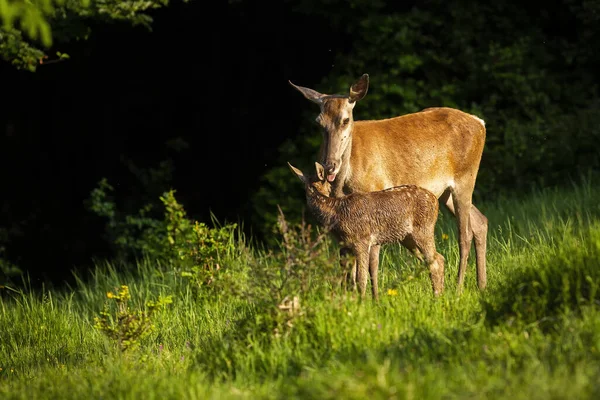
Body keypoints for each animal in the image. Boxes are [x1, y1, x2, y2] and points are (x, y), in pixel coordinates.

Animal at [288, 161, 442, 298]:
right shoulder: (346, 246)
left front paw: (361, 304)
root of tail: (435, 200)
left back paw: (436, 297)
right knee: (438, 258)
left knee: (434, 262)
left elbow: (361, 279)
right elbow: (350, 280)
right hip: (407, 238)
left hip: (423, 230)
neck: (336, 213)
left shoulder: (362, 240)